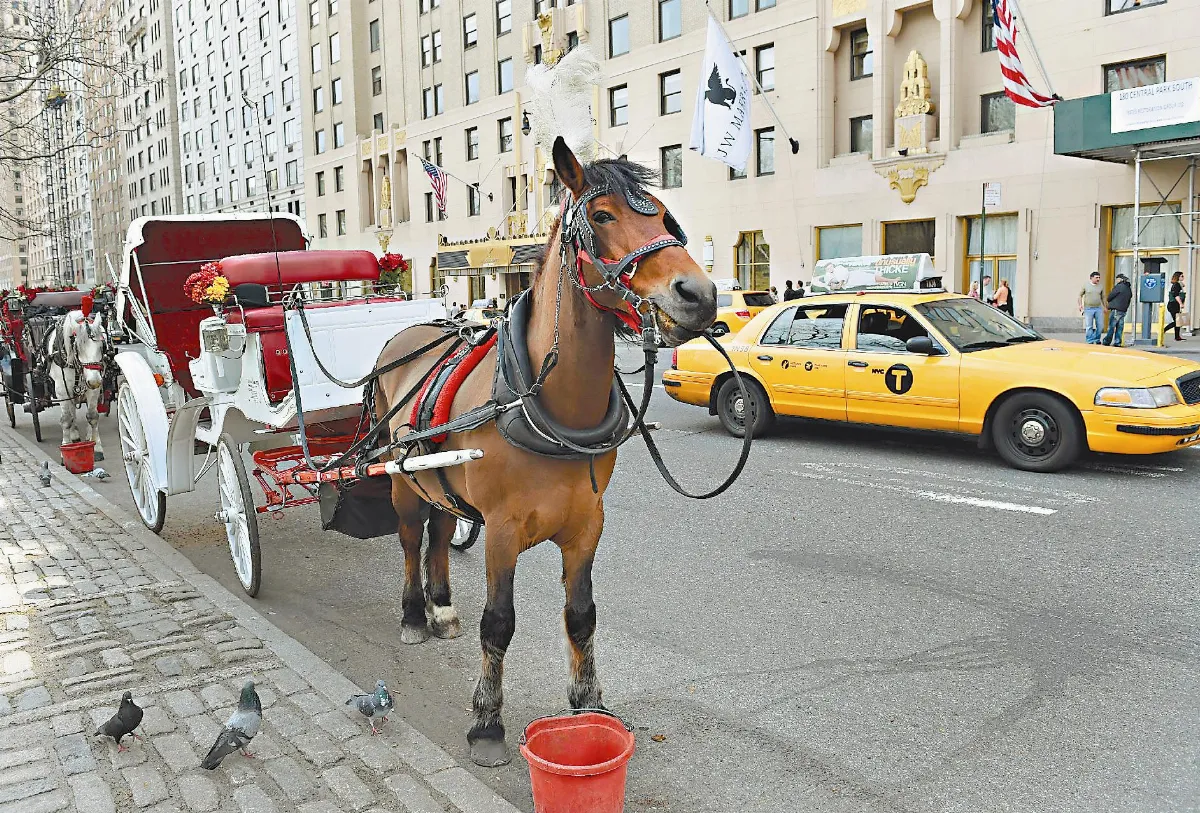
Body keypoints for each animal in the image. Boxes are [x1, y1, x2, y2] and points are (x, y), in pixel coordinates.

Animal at [45, 309, 107, 461]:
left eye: (102, 346)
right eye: (78, 347)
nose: (94, 381)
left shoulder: (93, 388)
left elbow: (92, 416)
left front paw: (97, 447)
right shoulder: (62, 388)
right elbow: (66, 419)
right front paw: (65, 448)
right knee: (71, 411)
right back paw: (74, 435)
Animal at [371, 138, 717, 766]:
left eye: (662, 216)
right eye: (602, 216)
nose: (699, 295)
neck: (549, 405)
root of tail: (404, 335)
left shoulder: (586, 525)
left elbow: (581, 617)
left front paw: (588, 703)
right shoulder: (502, 531)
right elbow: (499, 623)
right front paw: (487, 721)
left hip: (443, 480)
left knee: (441, 531)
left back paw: (441, 606)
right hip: (402, 476)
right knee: (411, 538)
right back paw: (413, 613)